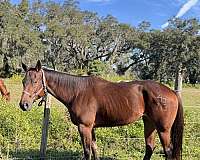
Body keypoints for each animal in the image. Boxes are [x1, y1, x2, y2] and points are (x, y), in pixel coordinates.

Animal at [19, 60, 184, 159]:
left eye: (35, 81)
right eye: (23, 81)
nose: (23, 105)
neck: (77, 91)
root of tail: (171, 91)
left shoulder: (84, 127)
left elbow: (87, 151)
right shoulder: (91, 128)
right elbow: (95, 149)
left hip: (163, 129)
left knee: (168, 151)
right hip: (149, 123)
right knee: (150, 147)